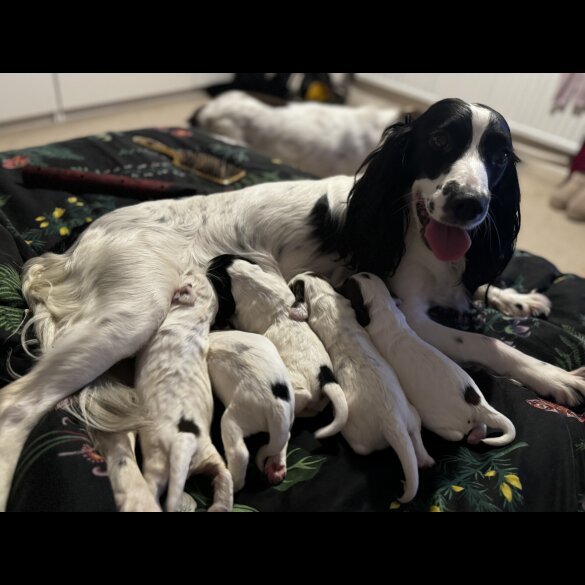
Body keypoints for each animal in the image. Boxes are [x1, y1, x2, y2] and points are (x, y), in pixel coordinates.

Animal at [206, 330, 294, 490]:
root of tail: (277, 405)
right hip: (288, 418)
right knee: (286, 437)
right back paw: (276, 466)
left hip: (234, 419)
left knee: (240, 454)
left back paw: (232, 483)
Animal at [288, 272, 434, 500]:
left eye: (294, 286)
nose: (288, 281)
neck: (323, 293)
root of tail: (392, 422)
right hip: (411, 414)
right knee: (416, 434)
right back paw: (425, 459)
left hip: (355, 433)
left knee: (362, 447)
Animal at [342, 272, 516, 444]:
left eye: (348, 284)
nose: (348, 276)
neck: (384, 307)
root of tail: (478, 406)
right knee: (481, 426)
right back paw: (476, 436)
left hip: (437, 420)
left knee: (455, 434)